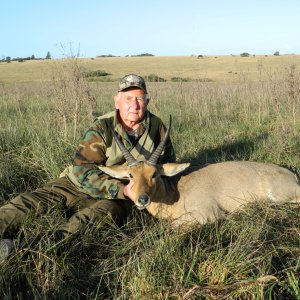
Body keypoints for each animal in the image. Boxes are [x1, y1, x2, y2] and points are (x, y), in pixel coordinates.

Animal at [99, 120, 300, 226]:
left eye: (154, 174)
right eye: (130, 176)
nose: (142, 199)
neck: (175, 192)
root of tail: (292, 174)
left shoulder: (207, 212)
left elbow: (173, 225)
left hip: (279, 195)